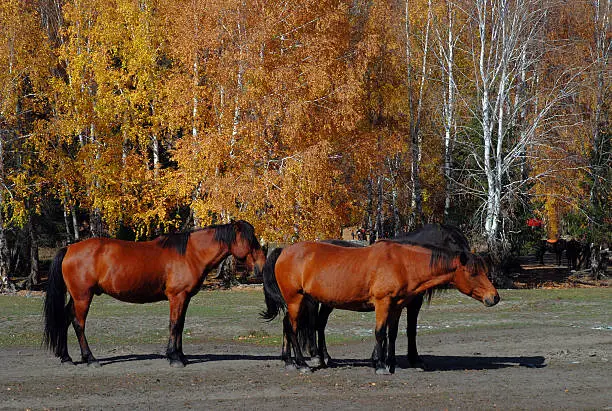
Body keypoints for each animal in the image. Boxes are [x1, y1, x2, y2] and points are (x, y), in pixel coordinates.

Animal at [44, 220, 266, 368]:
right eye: (250, 241)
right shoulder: (177, 296)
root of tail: (69, 248)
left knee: (65, 319)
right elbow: (174, 325)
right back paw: (90, 359)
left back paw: (66, 358)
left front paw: (181, 356)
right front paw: (174, 358)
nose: (261, 268)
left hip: (76, 297)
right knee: (78, 324)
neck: (190, 254)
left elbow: (180, 325)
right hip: (83, 297)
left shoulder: (184, 298)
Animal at [262, 233, 498, 374]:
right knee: (292, 329)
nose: (494, 297)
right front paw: (381, 366)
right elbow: (380, 333)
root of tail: (284, 250)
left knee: (287, 326)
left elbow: (391, 334)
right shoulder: (383, 303)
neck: (403, 264)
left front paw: (390, 362)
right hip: (296, 300)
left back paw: (289, 361)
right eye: (473, 273)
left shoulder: (396, 305)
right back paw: (302, 364)